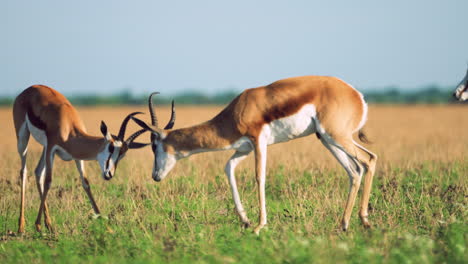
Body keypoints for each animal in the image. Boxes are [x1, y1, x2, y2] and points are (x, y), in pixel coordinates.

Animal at [13, 85, 148, 233]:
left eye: (122, 155)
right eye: (111, 148)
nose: (109, 174)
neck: (69, 129)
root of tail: (29, 89)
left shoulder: (77, 157)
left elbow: (86, 183)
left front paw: (107, 227)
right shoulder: (51, 149)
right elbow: (49, 181)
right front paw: (37, 224)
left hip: (43, 147)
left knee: (38, 172)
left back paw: (49, 225)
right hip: (23, 139)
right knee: (24, 172)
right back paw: (21, 227)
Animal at [132, 76, 376, 233]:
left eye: (153, 145)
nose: (155, 176)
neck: (235, 112)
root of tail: (357, 95)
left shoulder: (259, 141)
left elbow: (259, 177)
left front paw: (259, 225)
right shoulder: (244, 148)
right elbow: (228, 169)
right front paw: (245, 220)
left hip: (336, 136)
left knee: (369, 160)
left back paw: (364, 221)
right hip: (327, 139)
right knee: (354, 170)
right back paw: (344, 224)